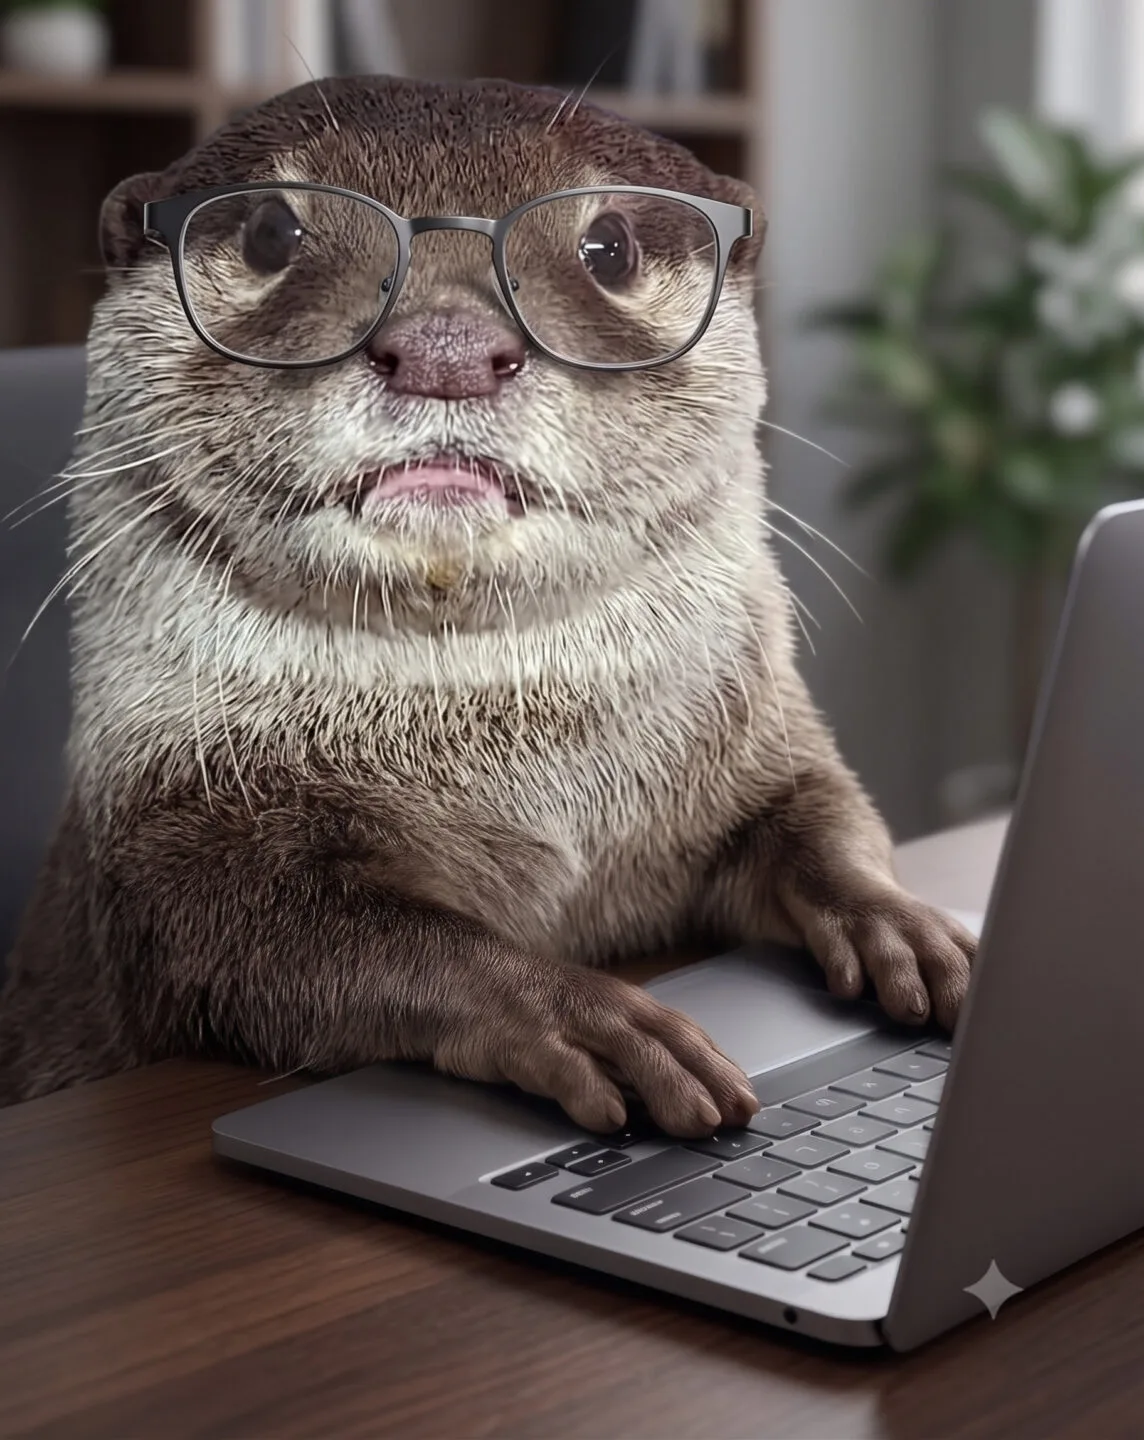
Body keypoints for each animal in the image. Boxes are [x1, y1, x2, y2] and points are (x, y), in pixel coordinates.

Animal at [0, 75, 974, 1134]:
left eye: (610, 246)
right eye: (269, 230)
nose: (447, 348)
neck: (525, 768)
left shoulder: (766, 736)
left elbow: (828, 815)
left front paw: (907, 925)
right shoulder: (165, 844)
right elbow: (338, 938)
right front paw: (587, 1014)